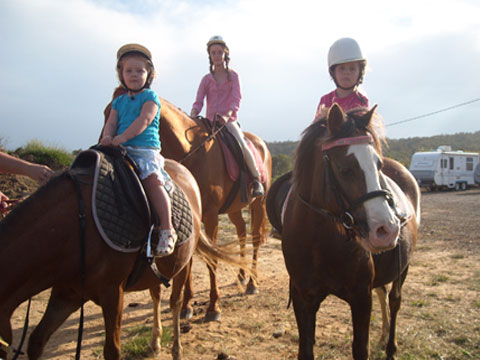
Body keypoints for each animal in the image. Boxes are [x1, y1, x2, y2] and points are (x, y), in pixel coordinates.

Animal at [0, 159, 232, 358]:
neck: (77, 225)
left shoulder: (112, 292)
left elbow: (112, 350)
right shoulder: (67, 292)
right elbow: (36, 341)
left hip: (180, 268)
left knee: (175, 303)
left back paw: (176, 350)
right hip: (154, 273)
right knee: (156, 296)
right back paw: (155, 342)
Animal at [102, 91, 270, 322]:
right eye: (106, 112)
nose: (105, 145)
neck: (194, 152)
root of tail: (262, 144)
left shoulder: (210, 216)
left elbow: (211, 259)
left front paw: (213, 308)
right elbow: (188, 260)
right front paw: (186, 305)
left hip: (259, 204)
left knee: (254, 238)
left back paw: (252, 282)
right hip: (235, 208)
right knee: (242, 232)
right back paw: (243, 276)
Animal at [268, 105, 422, 360]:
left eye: (378, 165)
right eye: (345, 169)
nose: (386, 229)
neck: (320, 242)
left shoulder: (361, 298)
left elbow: (360, 349)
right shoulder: (303, 298)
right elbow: (306, 349)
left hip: (404, 267)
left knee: (394, 300)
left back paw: (390, 347)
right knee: (383, 292)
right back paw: (383, 336)